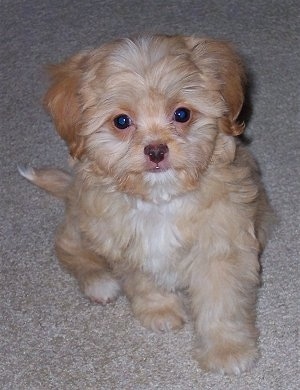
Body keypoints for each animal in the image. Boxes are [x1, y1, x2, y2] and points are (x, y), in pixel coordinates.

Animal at [19, 35, 270, 374]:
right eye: (121, 121)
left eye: (182, 114)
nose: (156, 150)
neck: (160, 199)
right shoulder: (125, 242)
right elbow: (144, 280)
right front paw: (159, 310)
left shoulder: (221, 247)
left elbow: (221, 302)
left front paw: (227, 350)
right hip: (85, 219)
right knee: (67, 246)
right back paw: (99, 282)